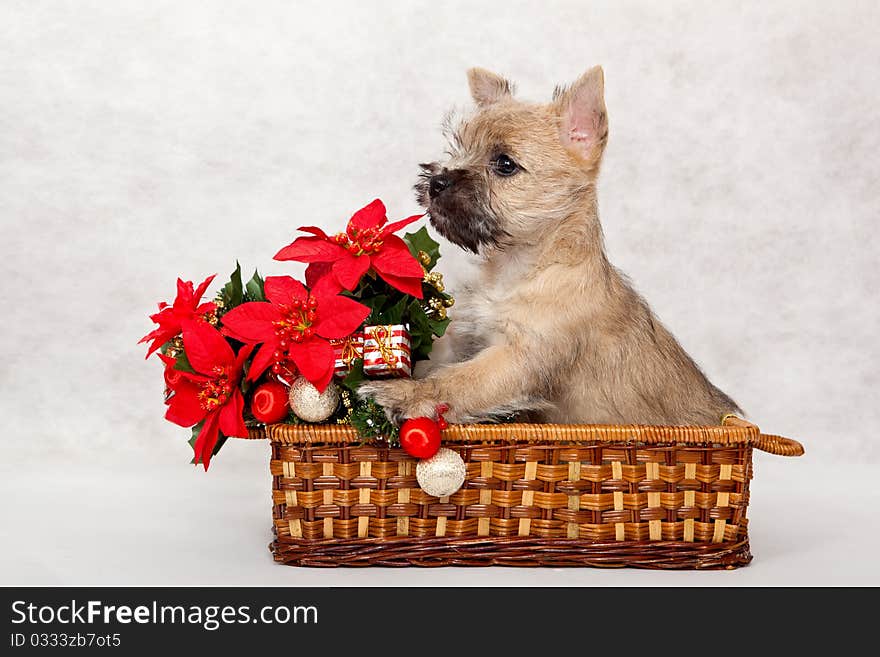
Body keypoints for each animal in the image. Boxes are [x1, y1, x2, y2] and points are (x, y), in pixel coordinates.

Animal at [360, 68, 740, 426]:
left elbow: (459, 381)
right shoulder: (472, 337)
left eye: (505, 164)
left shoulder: (519, 356)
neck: (519, 268)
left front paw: (405, 394)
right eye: (457, 149)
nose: (437, 182)